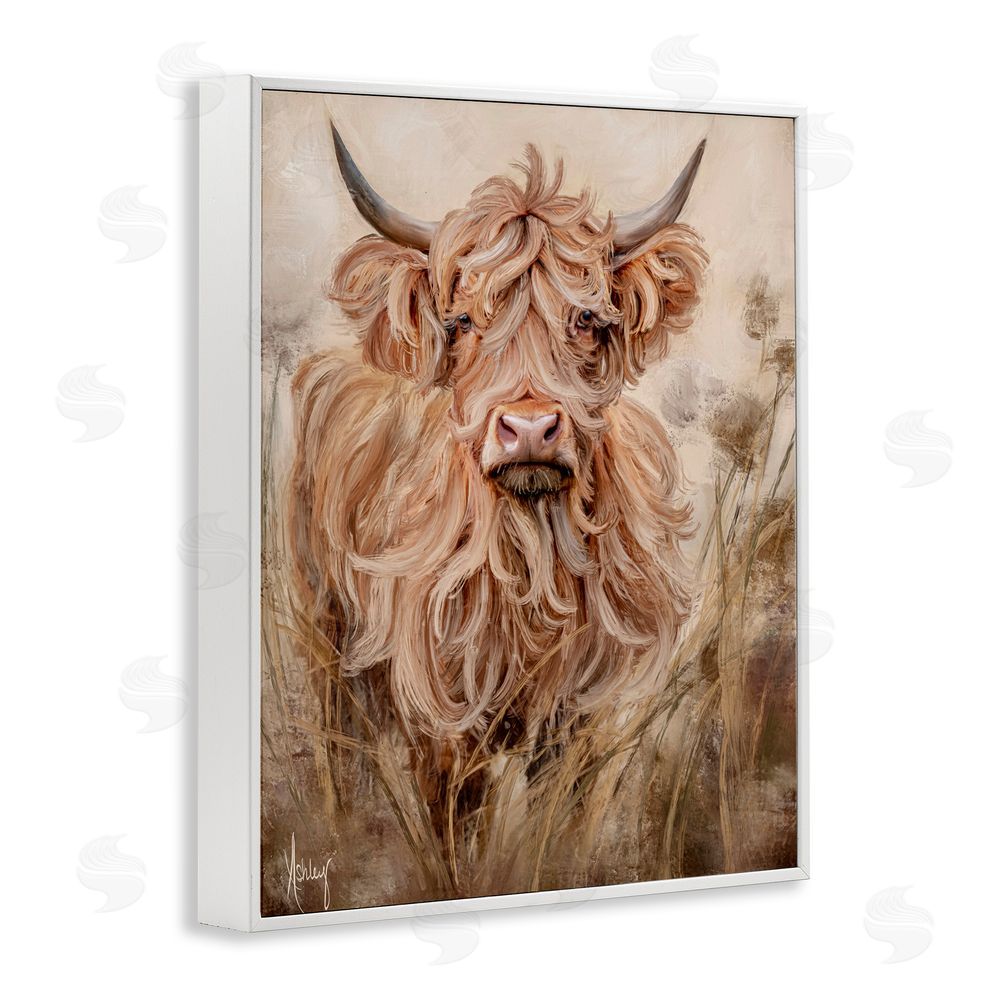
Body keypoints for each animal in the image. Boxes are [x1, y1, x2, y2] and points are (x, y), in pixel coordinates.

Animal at [288, 124, 709, 823]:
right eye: (460, 322)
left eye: (587, 319)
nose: (530, 429)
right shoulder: (442, 723)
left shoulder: (576, 720)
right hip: (324, 635)